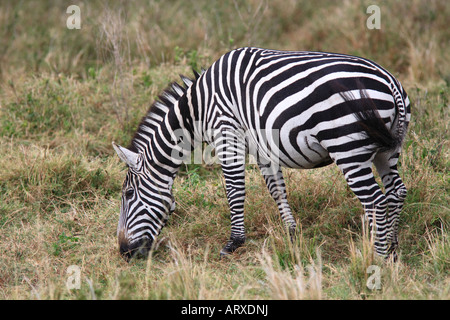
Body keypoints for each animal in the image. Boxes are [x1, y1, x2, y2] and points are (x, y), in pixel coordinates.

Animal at [113, 48, 412, 262]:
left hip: (347, 147)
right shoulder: (262, 147)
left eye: (128, 194)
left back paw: (377, 257)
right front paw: (291, 234)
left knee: (375, 201)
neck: (196, 109)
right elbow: (276, 189)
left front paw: (234, 242)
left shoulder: (227, 134)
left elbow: (234, 190)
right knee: (397, 192)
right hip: (388, 150)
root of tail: (390, 81)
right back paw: (393, 249)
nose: (125, 252)